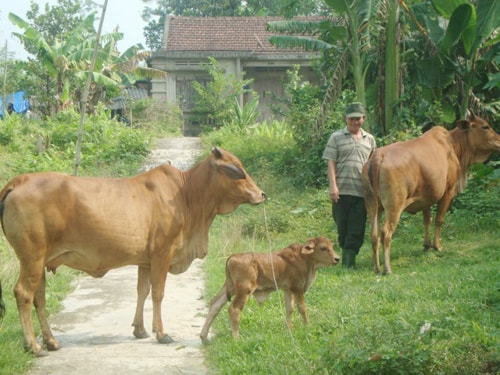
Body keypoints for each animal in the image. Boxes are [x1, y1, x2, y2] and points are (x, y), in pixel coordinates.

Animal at [0, 146, 266, 356]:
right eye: (237, 169)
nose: (261, 194)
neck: (187, 195)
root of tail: (18, 181)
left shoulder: (145, 261)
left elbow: (142, 291)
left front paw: (140, 329)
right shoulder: (162, 253)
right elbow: (158, 293)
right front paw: (161, 333)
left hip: (39, 261)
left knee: (39, 298)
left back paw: (51, 342)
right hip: (31, 258)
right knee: (23, 293)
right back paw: (33, 346)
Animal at [199, 238, 340, 344]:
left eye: (331, 246)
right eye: (323, 248)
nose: (337, 259)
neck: (305, 259)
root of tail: (233, 256)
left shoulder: (288, 289)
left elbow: (289, 309)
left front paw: (290, 329)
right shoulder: (297, 288)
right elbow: (302, 308)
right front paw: (307, 326)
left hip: (231, 287)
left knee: (215, 304)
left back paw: (204, 337)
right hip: (244, 290)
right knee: (234, 309)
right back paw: (236, 338)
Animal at [362, 113, 500, 274]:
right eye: (485, 126)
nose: (499, 141)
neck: (454, 146)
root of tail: (378, 155)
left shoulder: (425, 198)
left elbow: (427, 219)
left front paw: (427, 245)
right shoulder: (448, 192)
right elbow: (439, 219)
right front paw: (437, 245)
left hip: (372, 204)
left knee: (374, 234)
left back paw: (377, 267)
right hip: (394, 206)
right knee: (386, 233)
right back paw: (387, 268)